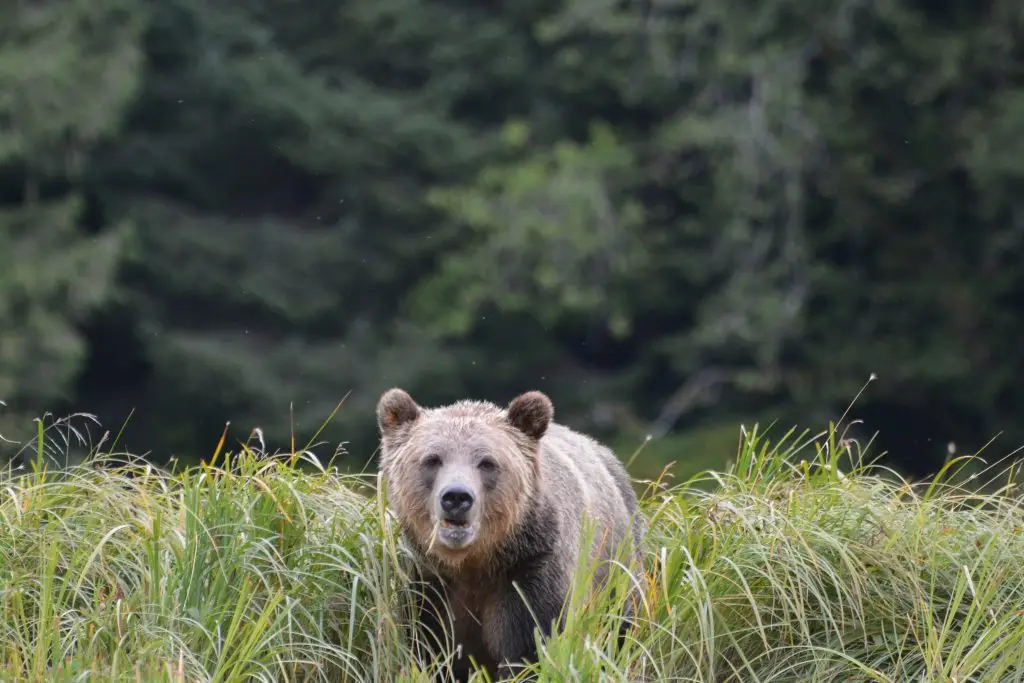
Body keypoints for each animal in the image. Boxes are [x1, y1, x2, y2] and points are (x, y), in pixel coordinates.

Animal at [376, 387, 647, 679]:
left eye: (487, 462)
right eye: (433, 460)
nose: (456, 496)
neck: (475, 563)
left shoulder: (529, 572)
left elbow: (532, 647)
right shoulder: (429, 583)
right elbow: (431, 652)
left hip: (617, 569)